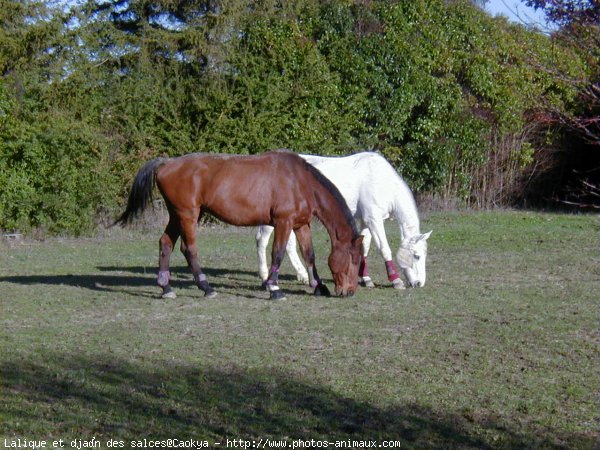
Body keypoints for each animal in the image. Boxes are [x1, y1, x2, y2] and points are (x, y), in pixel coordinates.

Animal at [115, 149, 364, 300]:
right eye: (354, 258)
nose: (350, 291)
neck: (299, 180)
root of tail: (167, 163)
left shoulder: (301, 225)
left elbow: (309, 254)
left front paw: (318, 286)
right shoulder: (283, 222)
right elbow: (278, 253)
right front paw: (274, 289)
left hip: (177, 215)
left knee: (165, 243)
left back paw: (166, 288)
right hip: (187, 215)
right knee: (189, 249)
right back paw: (206, 287)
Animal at [255, 153, 434, 290]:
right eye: (417, 256)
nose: (420, 283)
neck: (381, 182)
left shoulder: (366, 221)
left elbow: (364, 246)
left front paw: (366, 278)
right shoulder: (374, 220)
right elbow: (384, 248)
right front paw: (396, 280)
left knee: (289, 245)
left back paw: (303, 276)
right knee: (262, 241)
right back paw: (265, 278)